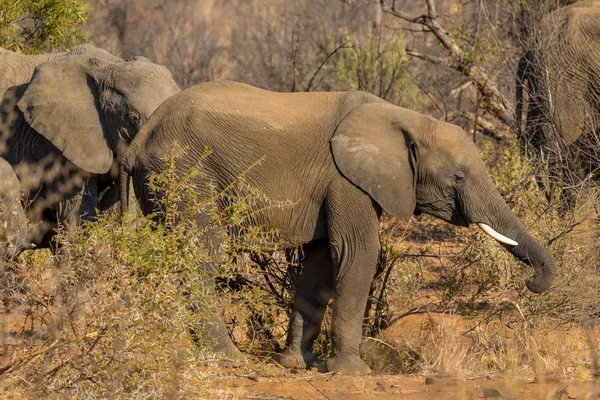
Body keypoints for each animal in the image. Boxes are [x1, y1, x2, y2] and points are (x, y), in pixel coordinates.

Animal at [122, 80, 556, 376]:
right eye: (459, 177)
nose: (532, 283)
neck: (406, 118)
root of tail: (142, 135)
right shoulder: (347, 181)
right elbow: (357, 252)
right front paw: (351, 371)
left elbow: (320, 265)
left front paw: (296, 364)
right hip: (185, 174)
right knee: (202, 256)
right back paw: (225, 357)